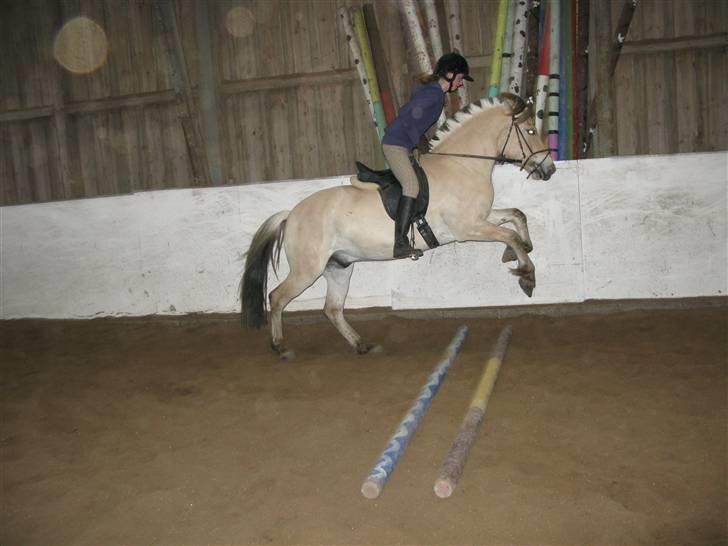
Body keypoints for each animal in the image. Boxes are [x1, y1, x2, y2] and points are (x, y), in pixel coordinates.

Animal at [242, 93, 556, 356]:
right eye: (530, 131)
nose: (549, 169)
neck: (461, 165)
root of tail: (292, 213)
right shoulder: (468, 229)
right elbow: (509, 235)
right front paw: (527, 274)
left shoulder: (481, 218)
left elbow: (516, 215)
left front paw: (520, 251)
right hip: (308, 270)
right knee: (278, 297)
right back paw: (280, 346)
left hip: (339, 267)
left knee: (332, 308)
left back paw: (361, 344)